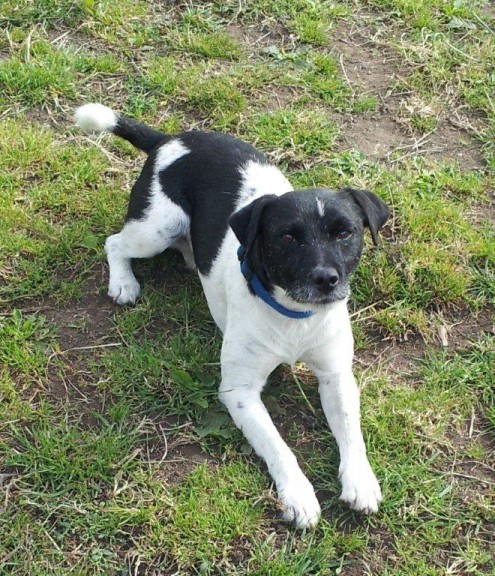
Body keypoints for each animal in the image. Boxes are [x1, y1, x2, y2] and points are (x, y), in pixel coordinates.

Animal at [75, 104, 390, 532]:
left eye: (345, 233)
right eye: (287, 237)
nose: (326, 280)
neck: (294, 314)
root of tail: (170, 139)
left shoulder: (336, 375)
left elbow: (351, 433)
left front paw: (360, 480)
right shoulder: (239, 392)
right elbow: (279, 446)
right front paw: (299, 496)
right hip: (155, 229)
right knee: (115, 243)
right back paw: (123, 282)